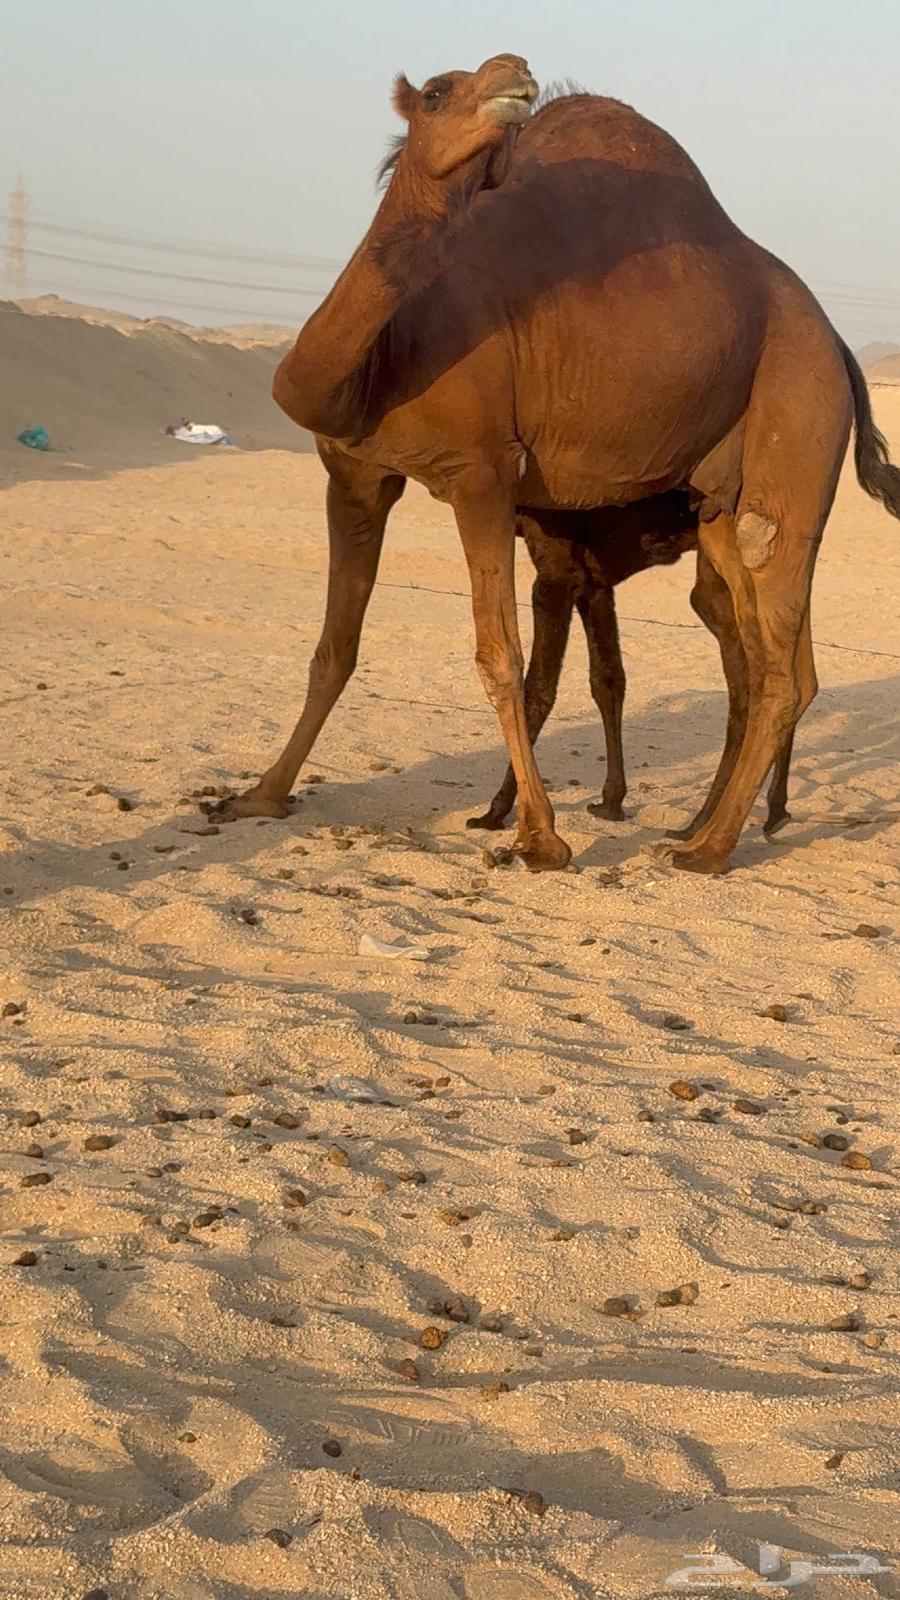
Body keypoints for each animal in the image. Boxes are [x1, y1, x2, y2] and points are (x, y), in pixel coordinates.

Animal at [467, 492, 795, 837]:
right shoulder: (593, 581)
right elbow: (607, 681)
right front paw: (611, 801)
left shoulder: (557, 572)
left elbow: (539, 690)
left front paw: (496, 812)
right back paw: (772, 810)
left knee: (755, 684)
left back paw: (702, 824)